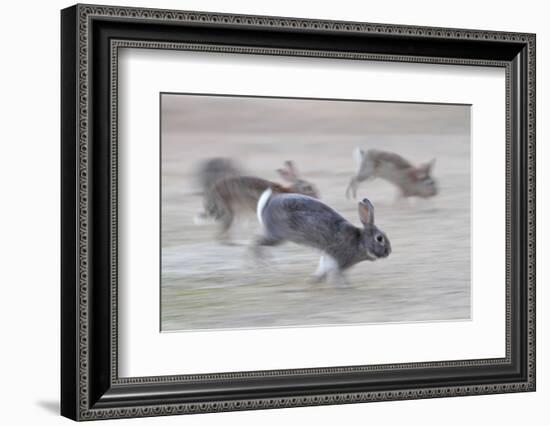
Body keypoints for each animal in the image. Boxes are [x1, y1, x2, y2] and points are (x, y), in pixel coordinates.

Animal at [256, 189, 392, 286]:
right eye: (379, 238)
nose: (389, 252)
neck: (360, 242)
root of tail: (266, 208)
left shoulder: (328, 256)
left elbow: (323, 268)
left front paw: (313, 281)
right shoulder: (338, 258)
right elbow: (335, 272)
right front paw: (342, 286)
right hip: (278, 236)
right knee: (255, 243)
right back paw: (260, 263)